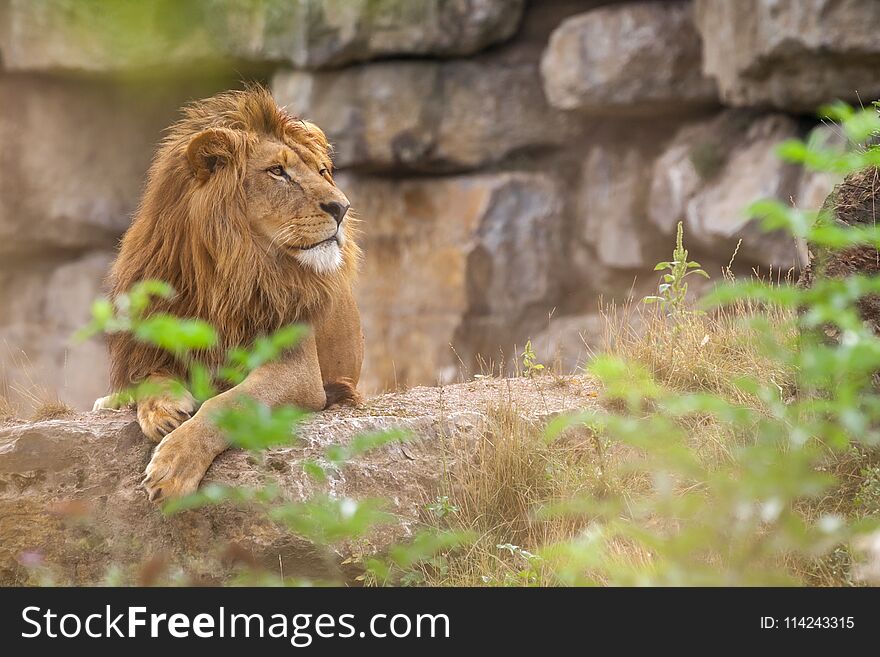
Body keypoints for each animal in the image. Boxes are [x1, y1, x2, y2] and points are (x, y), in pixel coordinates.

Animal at [92, 86, 360, 502]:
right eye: (277, 171)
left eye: (322, 172)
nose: (342, 208)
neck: (229, 270)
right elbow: (150, 375)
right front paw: (162, 411)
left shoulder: (298, 369)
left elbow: (228, 402)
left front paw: (173, 465)